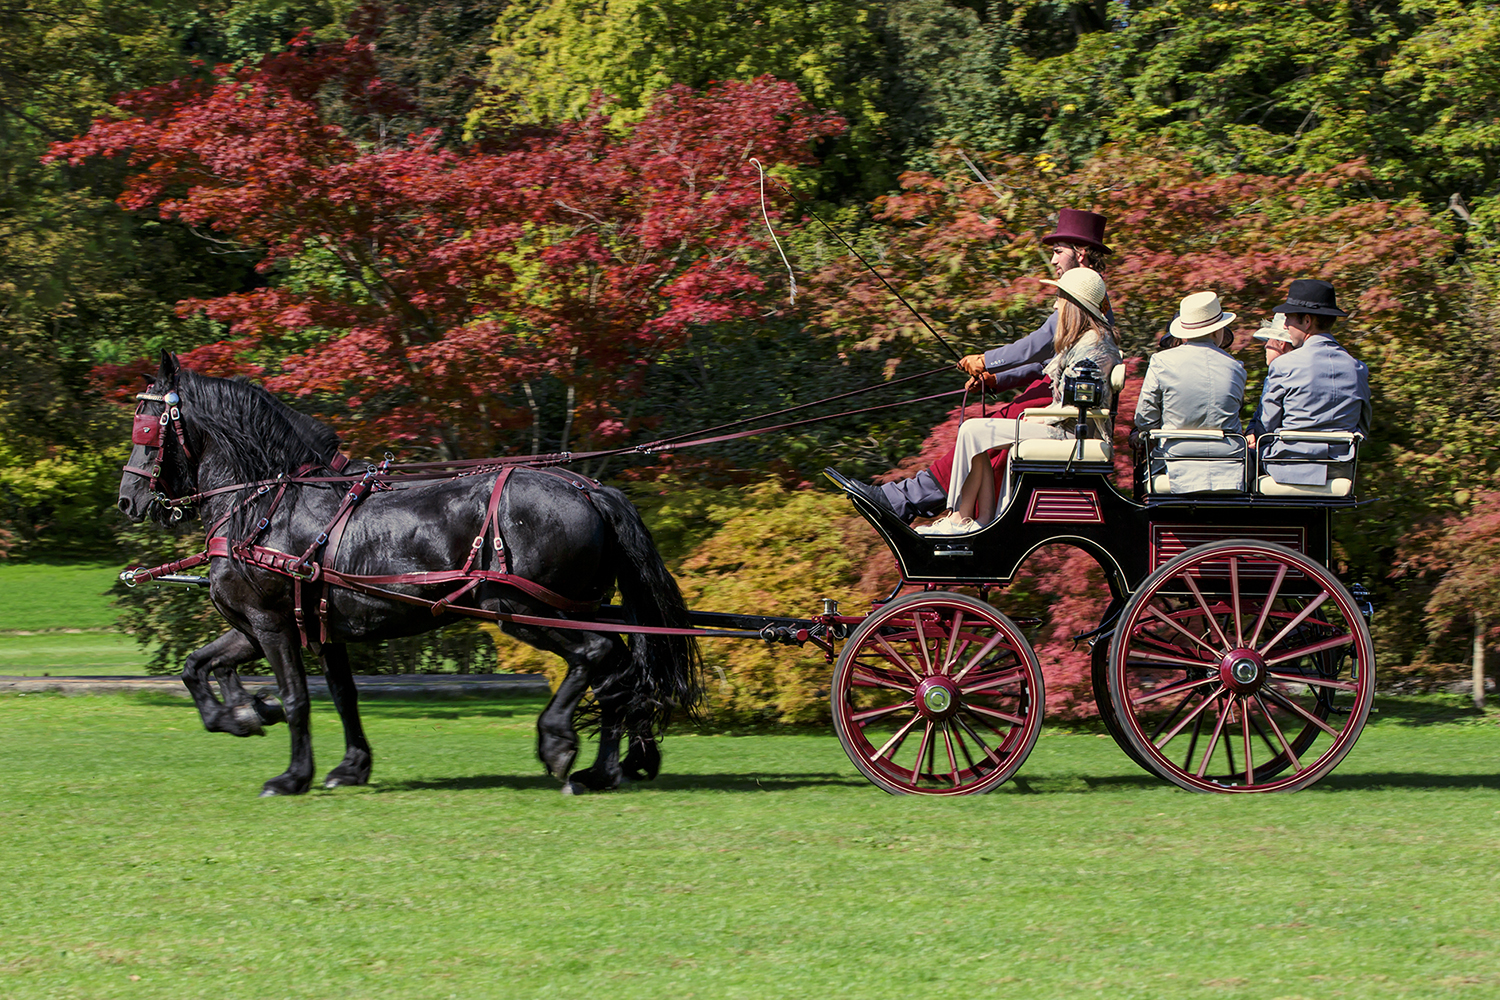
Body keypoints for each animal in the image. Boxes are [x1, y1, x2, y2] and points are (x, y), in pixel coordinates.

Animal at [118, 352, 702, 797]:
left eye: (146, 427)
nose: (128, 499)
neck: (267, 504)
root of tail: (589, 489)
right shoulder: (298, 628)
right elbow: (210, 669)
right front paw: (258, 721)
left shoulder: (270, 622)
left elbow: (297, 697)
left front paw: (290, 774)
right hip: (570, 607)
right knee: (617, 670)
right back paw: (602, 770)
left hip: (520, 609)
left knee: (599, 657)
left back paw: (559, 742)